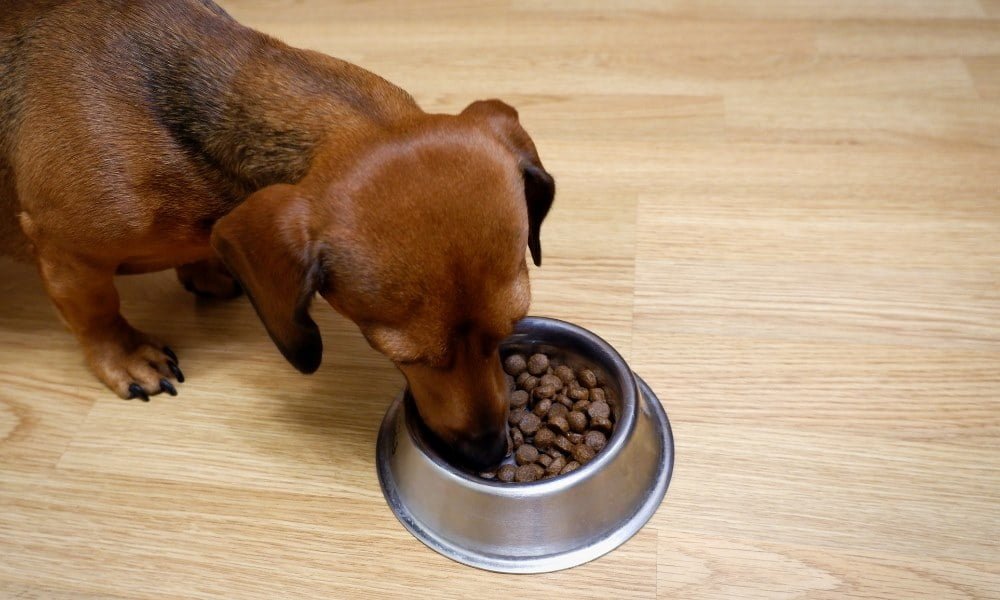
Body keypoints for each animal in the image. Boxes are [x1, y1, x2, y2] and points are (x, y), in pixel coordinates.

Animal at [0, 0, 556, 468]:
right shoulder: (66, 252)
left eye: (512, 326)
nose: (490, 452)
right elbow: (97, 314)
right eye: (405, 358)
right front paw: (127, 356)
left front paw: (205, 269)